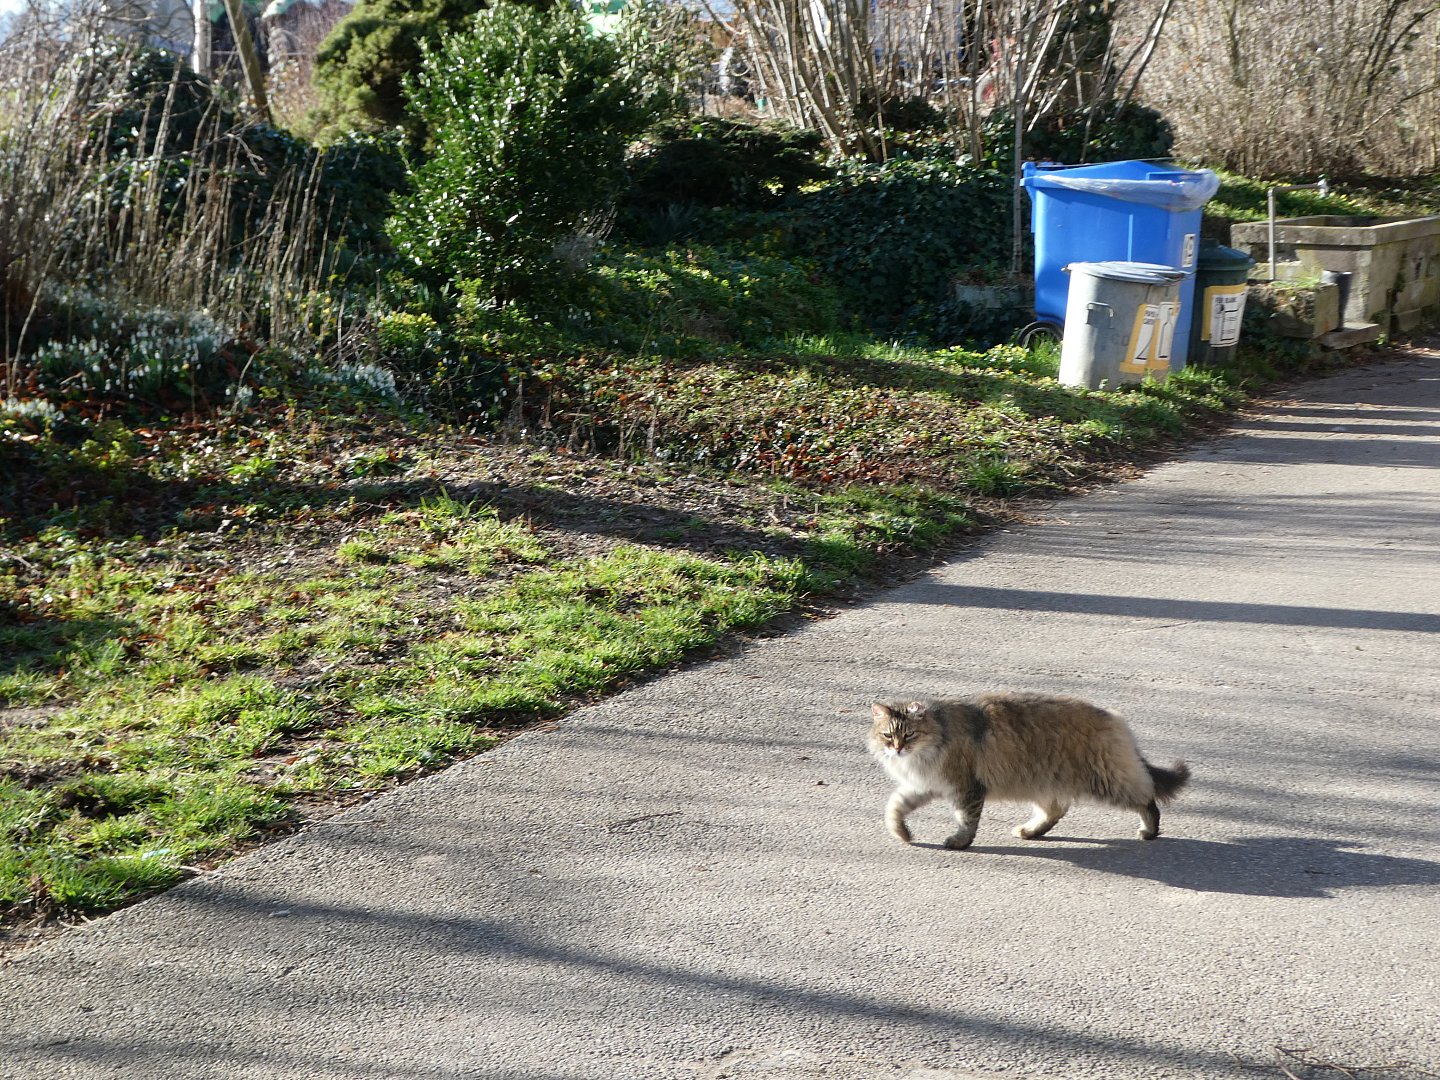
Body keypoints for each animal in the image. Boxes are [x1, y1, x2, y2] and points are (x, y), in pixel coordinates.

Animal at [864, 694, 1192, 852]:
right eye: (888, 736)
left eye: (909, 734)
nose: (897, 749)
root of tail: (1113, 717)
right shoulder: (923, 785)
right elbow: (895, 807)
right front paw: (902, 833)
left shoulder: (965, 788)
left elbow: (966, 821)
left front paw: (959, 842)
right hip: (1042, 780)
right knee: (1056, 810)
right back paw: (1030, 831)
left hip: (1108, 779)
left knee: (1147, 800)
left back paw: (1149, 831)